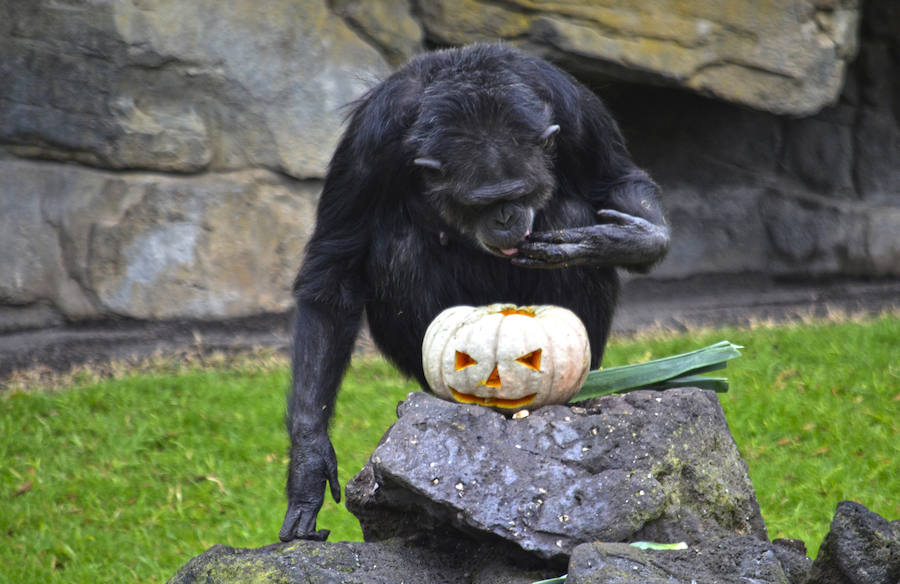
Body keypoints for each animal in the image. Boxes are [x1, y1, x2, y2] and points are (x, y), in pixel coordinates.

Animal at [282, 43, 668, 540]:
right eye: (481, 202)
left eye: (519, 192)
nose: (505, 218)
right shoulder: (369, 143)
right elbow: (334, 273)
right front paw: (308, 465)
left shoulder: (576, 110)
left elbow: (617, 180)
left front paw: (623, 240)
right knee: (398, 244)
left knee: (570, 210)